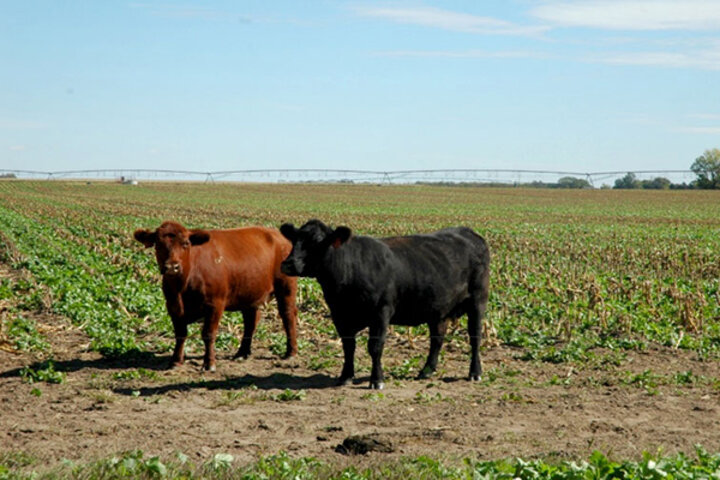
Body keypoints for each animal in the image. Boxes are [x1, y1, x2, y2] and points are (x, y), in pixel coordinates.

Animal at [134, 221, 296, 372]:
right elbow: (180, 334)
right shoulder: (173, 305)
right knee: (251, 322)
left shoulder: (215, 304)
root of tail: (277, 234)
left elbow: (208, 333)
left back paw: (291, 352)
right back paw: (242, 353)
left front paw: (209, 363)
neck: (183, 286)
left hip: (286, 287)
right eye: (158, 244)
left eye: (186, 243)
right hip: (249, 293)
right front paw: (175, 361)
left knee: (288, 316)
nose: (172, 267)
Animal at [280, 219, 490, 388]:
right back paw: (426, 371)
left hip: (478, 300)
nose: (287, 264)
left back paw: (475, 372)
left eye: (317, 242)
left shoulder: (381, 312)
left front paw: (377, 380)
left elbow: (375, 347)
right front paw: (345, 376)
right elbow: (348, 346)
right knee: (437, 339)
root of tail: (468, 232)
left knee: (475, 336)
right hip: (438, 309)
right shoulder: (340, 315)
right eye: (294, 239)